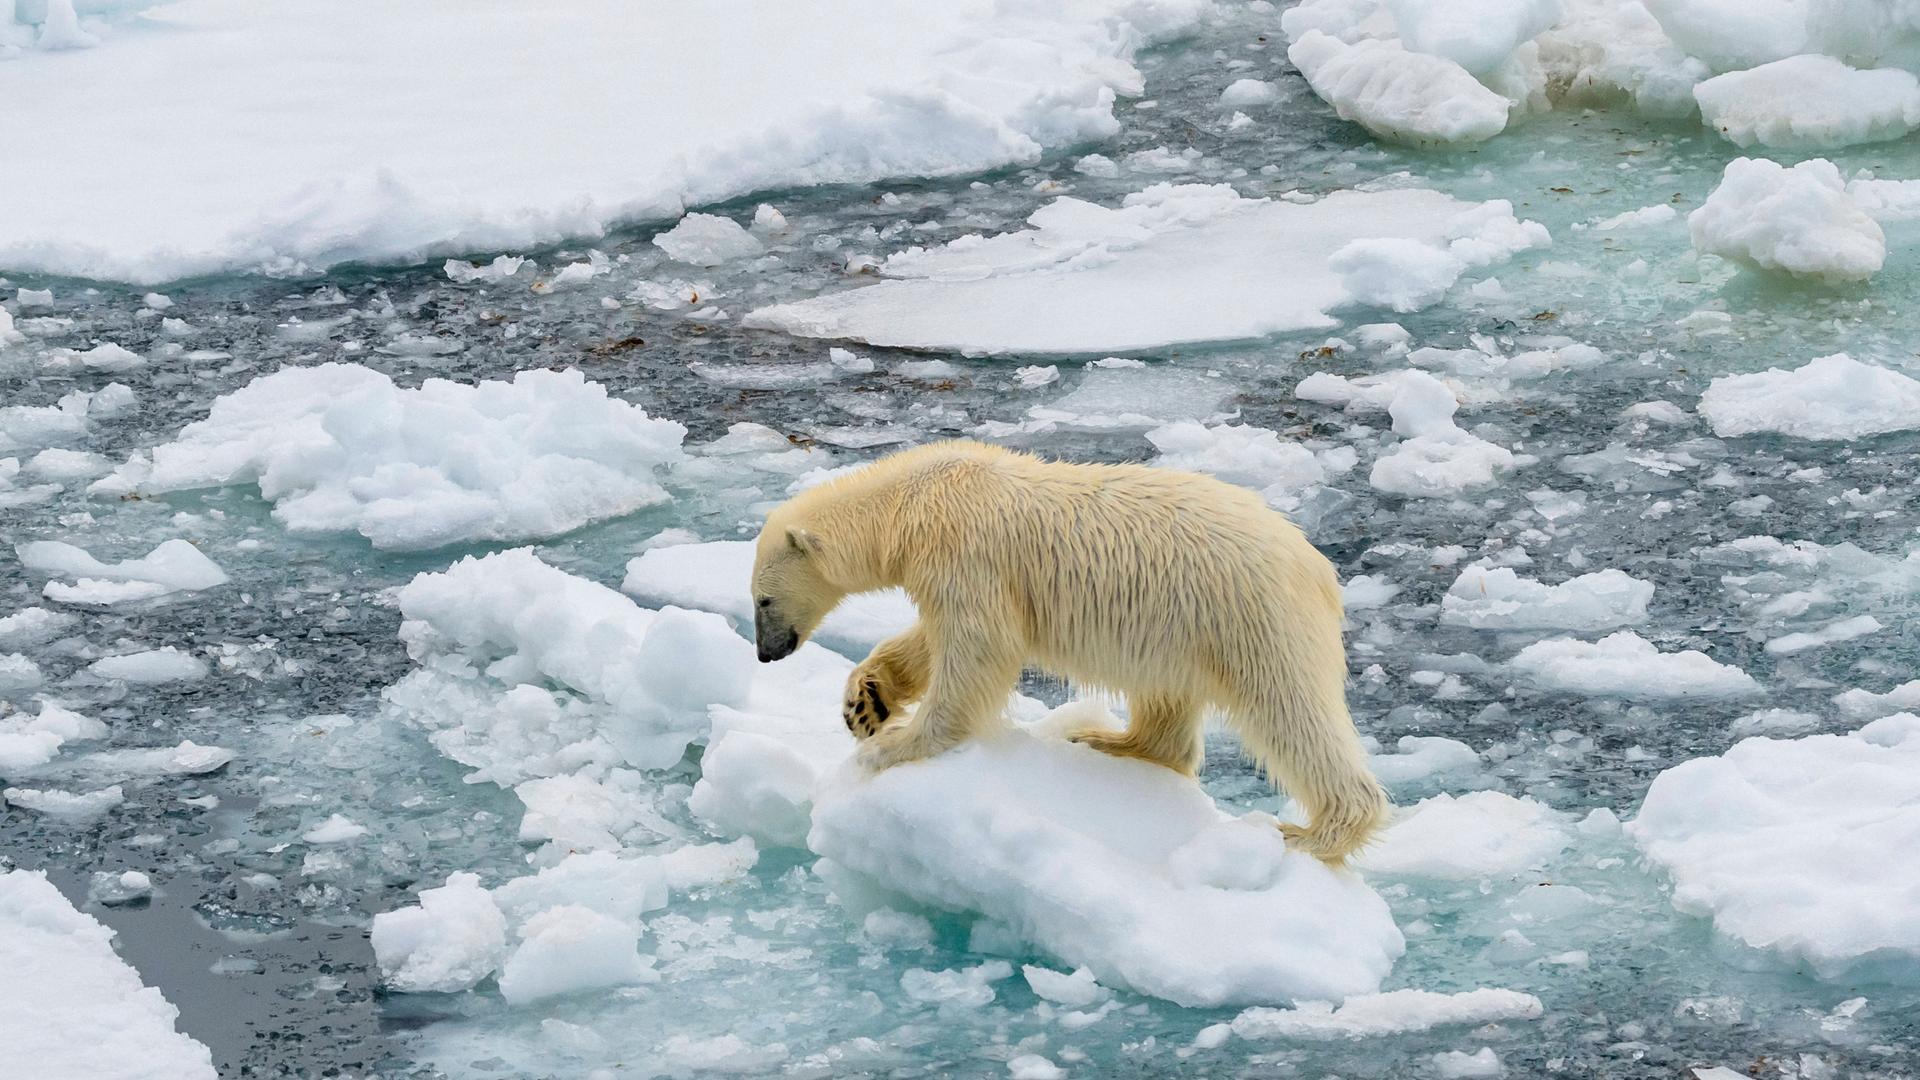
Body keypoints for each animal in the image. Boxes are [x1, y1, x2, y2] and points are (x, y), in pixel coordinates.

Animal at [741, 434, 1390, 857]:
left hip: (1249, 617)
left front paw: (892, 746)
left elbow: (978, 648)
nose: (766, 654)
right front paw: (866, 702)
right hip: (1179, 626)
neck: (914, 501)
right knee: (1168, 697)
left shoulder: (967, 555)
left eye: (763, 600)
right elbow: (935, 638)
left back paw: (1314, 833)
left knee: (1289, 710)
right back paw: (1108, 740)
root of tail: (1316, 566)